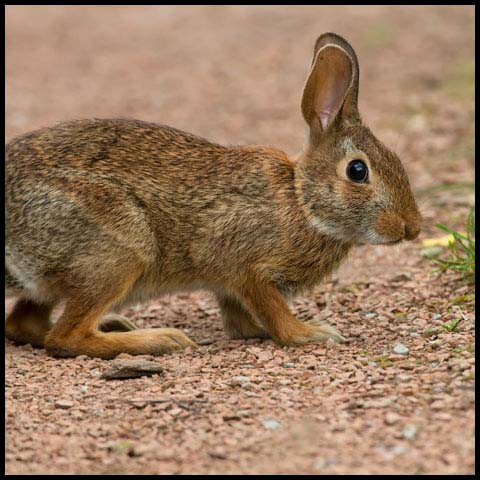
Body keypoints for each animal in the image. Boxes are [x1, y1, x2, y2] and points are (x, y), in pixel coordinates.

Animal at [5, 33, 422, 358]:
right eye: (357, 171)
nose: (412, 228)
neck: (301, 201)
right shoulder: (244, 265)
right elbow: (275, 314)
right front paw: (312, 333)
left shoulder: (229, 288)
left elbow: (241, 320)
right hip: (121, 249)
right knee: (64, 338)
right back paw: (161, 340)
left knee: (26, 325)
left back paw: (119, 324)